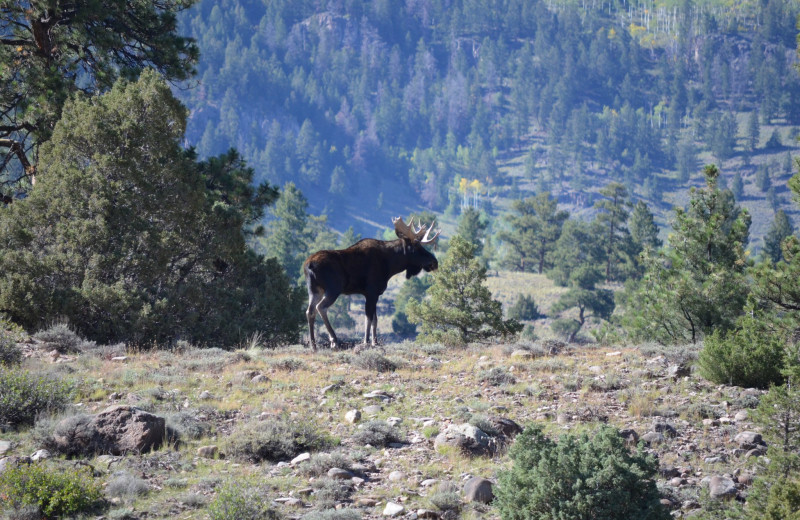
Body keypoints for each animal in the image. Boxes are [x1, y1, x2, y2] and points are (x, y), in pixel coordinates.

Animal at [304, 215, 440, 350]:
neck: (391, 265)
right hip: (333, 289)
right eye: (416, 247)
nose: (435, 262)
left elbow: (375, 319)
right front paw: (366, 342)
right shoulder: (371, 292)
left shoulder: (374, 294)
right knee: (321, 307)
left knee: (310, 311)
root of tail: (309, 265)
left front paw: (375, 342)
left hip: (314, 290)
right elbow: (368, 318)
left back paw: (313, 345)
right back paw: (334, 340)